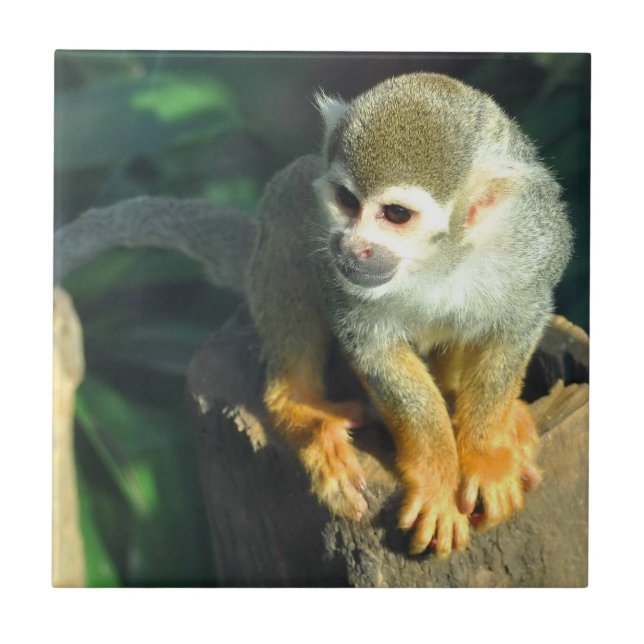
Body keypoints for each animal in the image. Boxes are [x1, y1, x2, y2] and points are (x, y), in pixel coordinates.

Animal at [247, 72, 572, 558]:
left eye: (396, 214)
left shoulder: (534, 244)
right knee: (290, 200)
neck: (437, 259)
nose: (351, 247)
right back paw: (300, 407)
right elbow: (374, 349)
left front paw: (485, 451)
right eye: (347, 200)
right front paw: (438, 474)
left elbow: (516, 325)